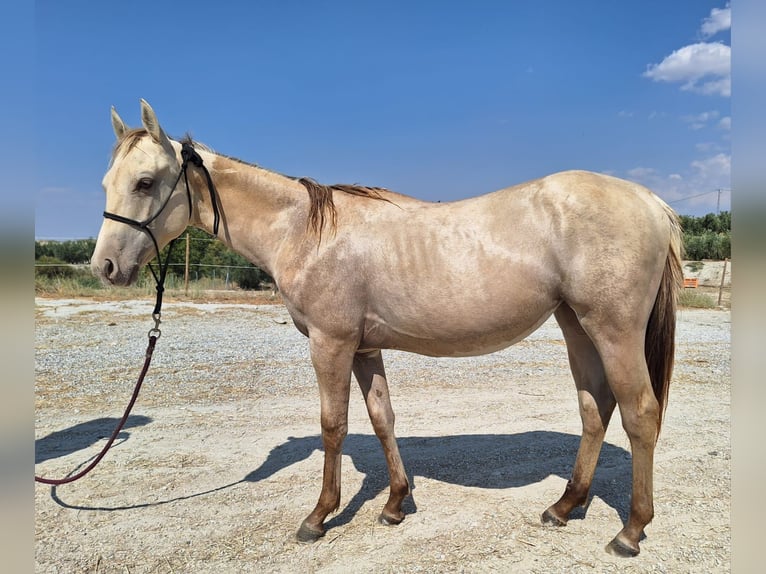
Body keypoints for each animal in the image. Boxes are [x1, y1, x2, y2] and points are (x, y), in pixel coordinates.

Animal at [91, 99, 683, 557]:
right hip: (577, 326)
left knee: (639, 413)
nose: (106, 268)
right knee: (595, 408)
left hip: (613, 329)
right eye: (107, 183)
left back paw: (630, 531)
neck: (304, 230)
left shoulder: (331, 344)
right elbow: (382, 418)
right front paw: (396, 503)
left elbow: (334, 425)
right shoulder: (363, 349)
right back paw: (563, 506)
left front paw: (319, 516)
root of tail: (649, 200)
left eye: (145, 182)